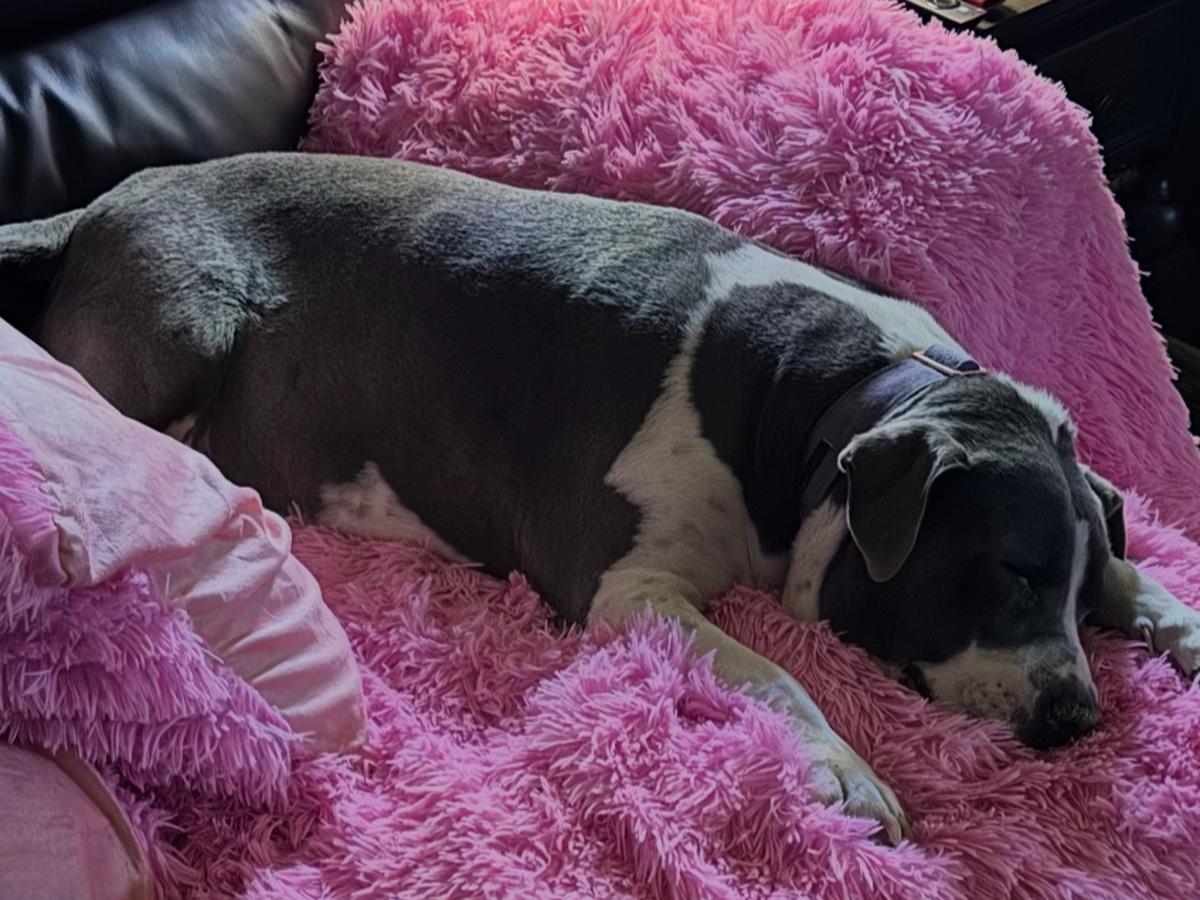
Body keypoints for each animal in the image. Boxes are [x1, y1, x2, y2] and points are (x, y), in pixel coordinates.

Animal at [6, 152, 1200, 845]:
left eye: (1069, 584)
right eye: (1009, 571)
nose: (1078, 715)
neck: (829, 403)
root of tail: (97, 205)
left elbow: (1139, 570)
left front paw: (1171, 617)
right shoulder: (629, 589)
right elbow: (776, 674)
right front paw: (845, 772)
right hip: (185, 322)